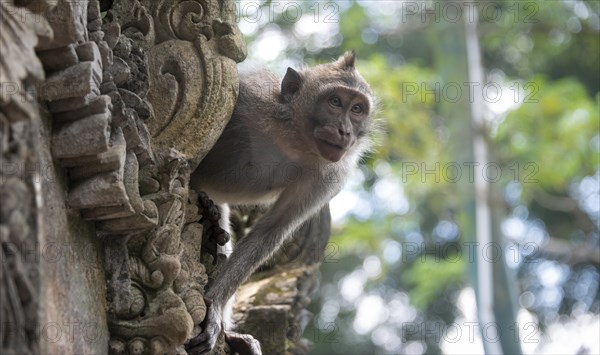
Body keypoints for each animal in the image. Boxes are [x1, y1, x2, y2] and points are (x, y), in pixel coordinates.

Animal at [186, 51, 376, 354]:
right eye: (335, 102)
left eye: (357, 109)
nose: (345, 131)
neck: (294, 138)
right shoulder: (249, 95)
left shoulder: (330, 176)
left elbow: (271, 231)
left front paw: (214, 307)